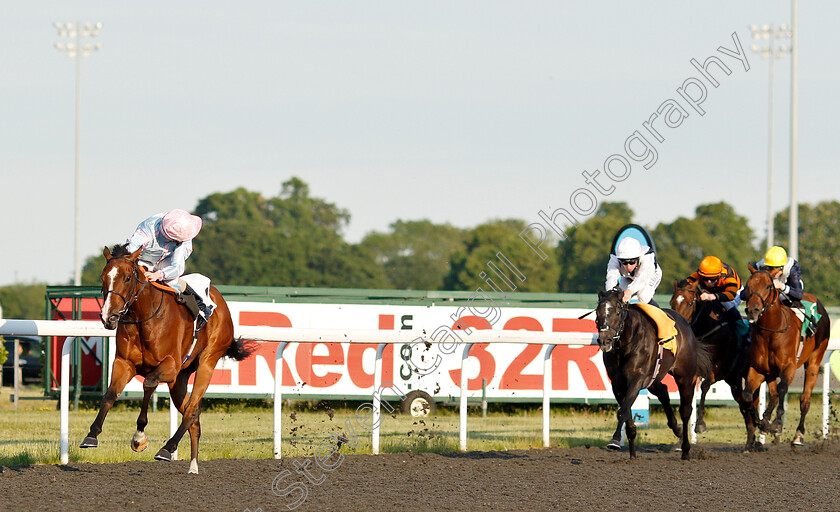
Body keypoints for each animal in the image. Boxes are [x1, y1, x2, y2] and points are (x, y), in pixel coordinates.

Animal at [81, 244, 254, 472]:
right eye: (103, 277)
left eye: (127, 278)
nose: (108, 317)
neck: (144, 317)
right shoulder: (123, 363)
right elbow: (109, 395)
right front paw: (91, 435)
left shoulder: (170, 366)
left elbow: (148, 383)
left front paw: (140, 437)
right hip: (179, 379)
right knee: (193, 414)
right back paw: (193, 466)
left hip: (208, 361)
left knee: (192, 410)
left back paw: (167, 448)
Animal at [596, 288, 708, 460]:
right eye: (597, 312)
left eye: (617, 312)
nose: (604, 341)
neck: (626, 343)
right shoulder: (617, 383)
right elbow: (625, 410)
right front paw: (632, 453)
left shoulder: (637, 379)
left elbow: (623, 410)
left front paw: (615, 440)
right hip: (654, 378)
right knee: (662, 391)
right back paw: (677, 429)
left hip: (685, 376)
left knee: (685, 410)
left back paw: (685, 449)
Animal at [744, 264, 832, 448]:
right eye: (748, 286)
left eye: (768, 286)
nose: (752, 311)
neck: (770, 331)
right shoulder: (758, 369)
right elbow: (748, 395)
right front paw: (762, 423)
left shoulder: (789, 367)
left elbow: (783, 388)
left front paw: (776, 423)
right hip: (770, 372)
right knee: (773, 395)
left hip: (814, 361)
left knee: (804, 400)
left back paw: (798, 436)